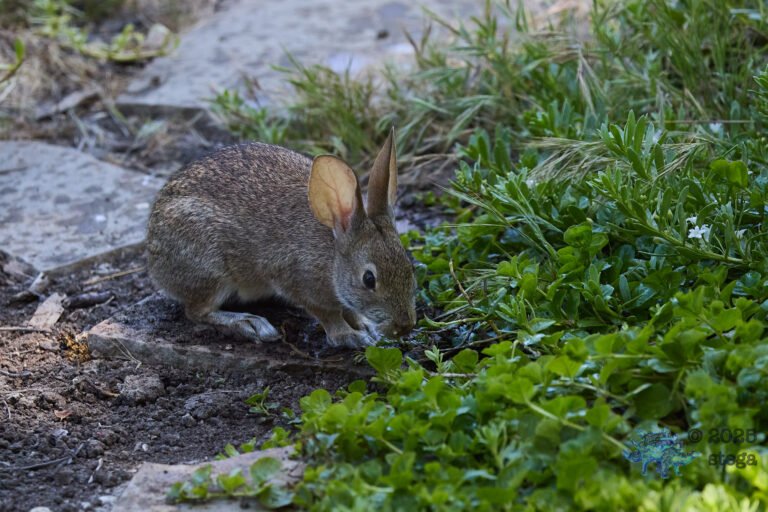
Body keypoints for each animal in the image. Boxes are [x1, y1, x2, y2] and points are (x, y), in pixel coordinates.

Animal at [146, 128, 417, 348]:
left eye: (410, 269)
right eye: (369, 279)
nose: (405, 326)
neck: (333, 257)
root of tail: (153, 254)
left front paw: (366, 327)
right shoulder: (295, 279)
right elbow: (327, 314)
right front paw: (348, 337)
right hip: (210, 269)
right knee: (196, 311)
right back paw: (250, 324)